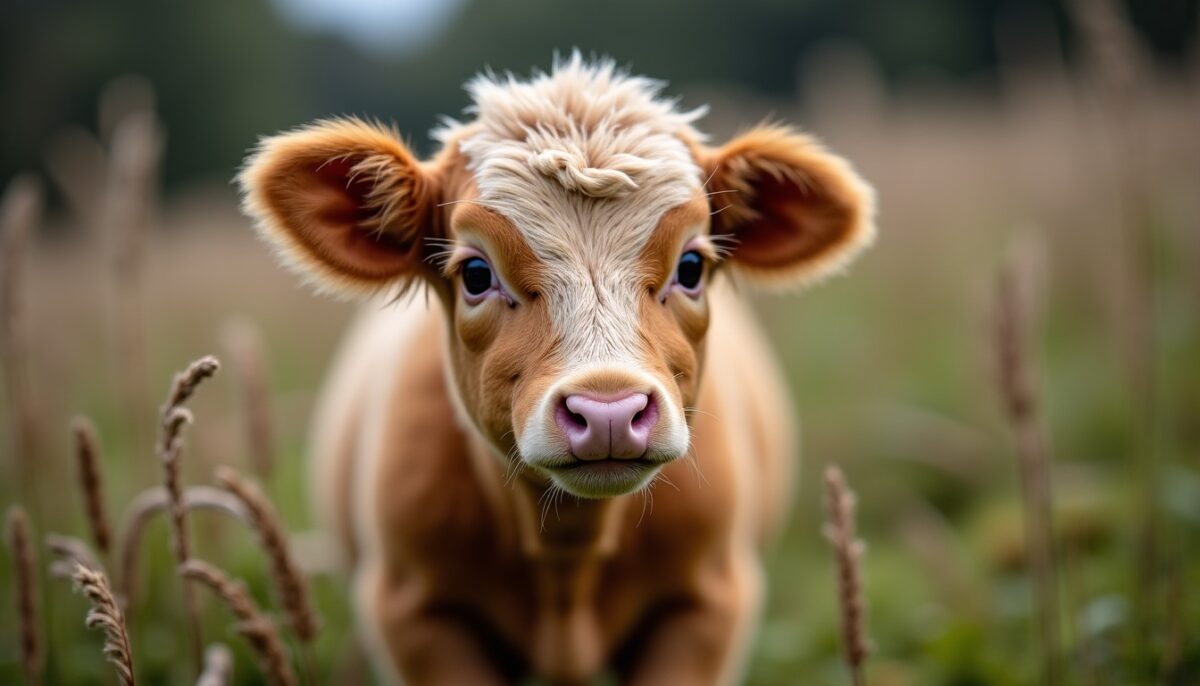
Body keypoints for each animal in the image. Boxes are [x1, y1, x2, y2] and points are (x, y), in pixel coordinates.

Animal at [238, 54, 875, 685]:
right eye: (475, 274)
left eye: (692, 265)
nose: (609, 411)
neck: (568, 558)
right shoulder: (416, 614)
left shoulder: (706, 604)